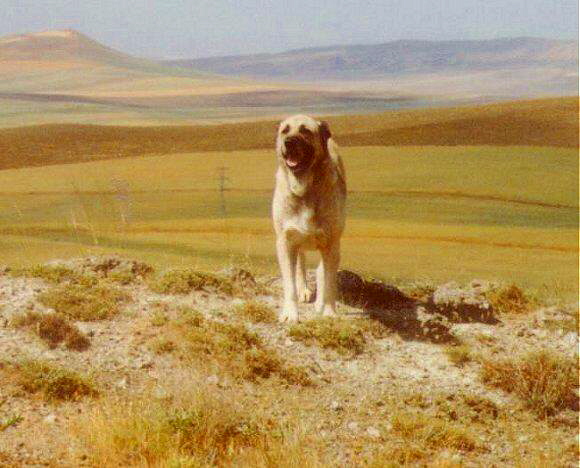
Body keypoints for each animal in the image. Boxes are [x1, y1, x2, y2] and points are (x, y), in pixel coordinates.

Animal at [270, 115, 346, 324]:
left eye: (305, 131)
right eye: (285, 130)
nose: (289, 142)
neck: (304, 189)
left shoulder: (331, 242)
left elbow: (328, 282)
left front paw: (328, 311)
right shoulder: (285, 241)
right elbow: (289, 283)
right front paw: (290, 313)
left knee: (322, 271)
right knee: (300, 263)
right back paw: (304, 289)